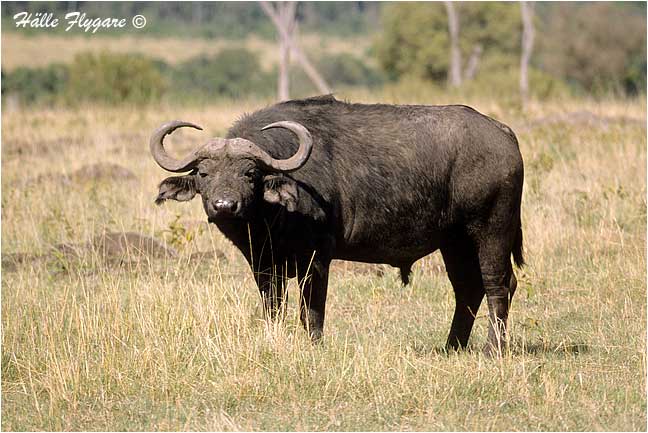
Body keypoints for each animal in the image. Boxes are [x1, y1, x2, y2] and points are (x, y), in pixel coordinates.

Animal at [151, 95, 524, 355]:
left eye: (250, 173)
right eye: (204, 173)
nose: (225, 206)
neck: (271, 219)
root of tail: (504, 134)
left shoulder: (316, 258)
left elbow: (311, 308)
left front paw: (315, 346)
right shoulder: (262, 262)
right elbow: (273, 307)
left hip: (491, 230)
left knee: (498, 285)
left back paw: (493, 349)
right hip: (455, 241)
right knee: (467, 289)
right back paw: (451, 346)